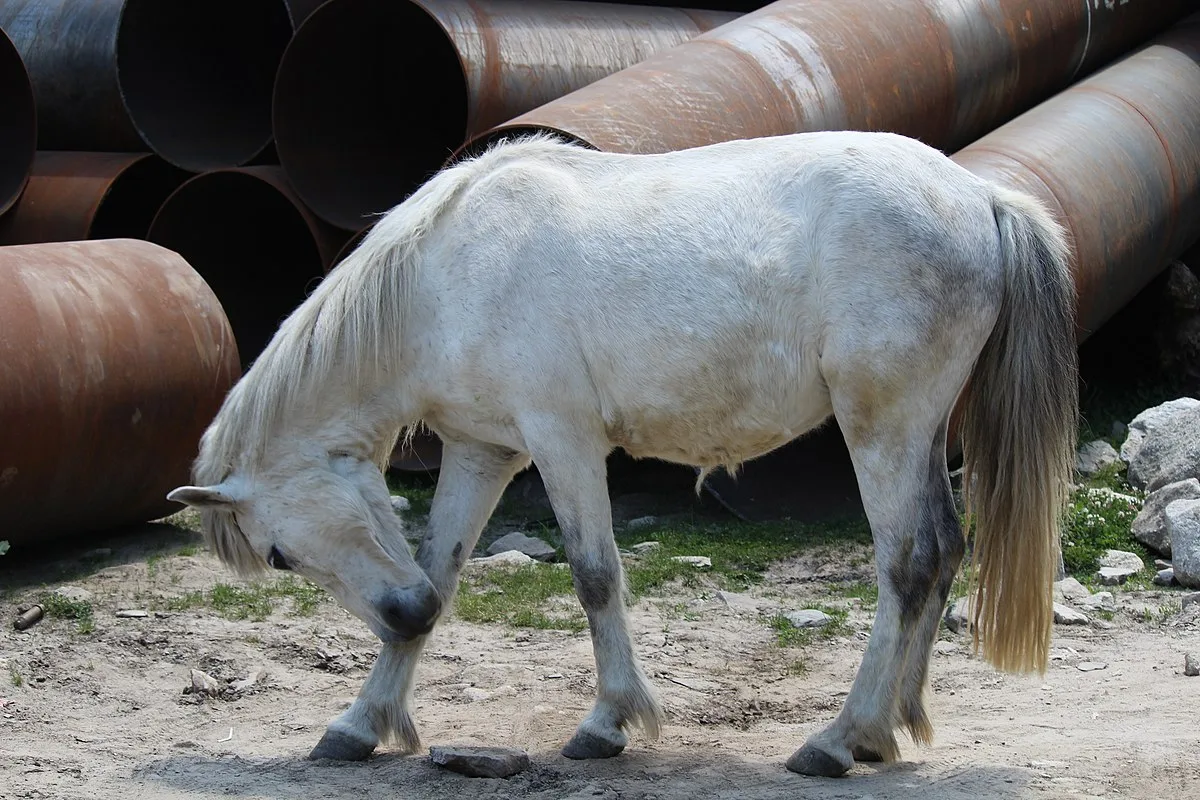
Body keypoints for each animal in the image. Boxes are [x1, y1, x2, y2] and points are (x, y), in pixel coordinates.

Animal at [166, 129, 1078, 778]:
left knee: (907, 563)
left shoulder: (561, 442)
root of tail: (979, 197)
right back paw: (885, 732)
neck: (445, 276)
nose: (404, 614)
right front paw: (361, 724)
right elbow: (443, 566)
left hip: (881, 428)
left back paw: (838, 738)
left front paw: (607, 724)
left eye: (279, 558)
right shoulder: (480, 451)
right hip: (917, 433)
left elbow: (595, 577)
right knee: (946, 550)